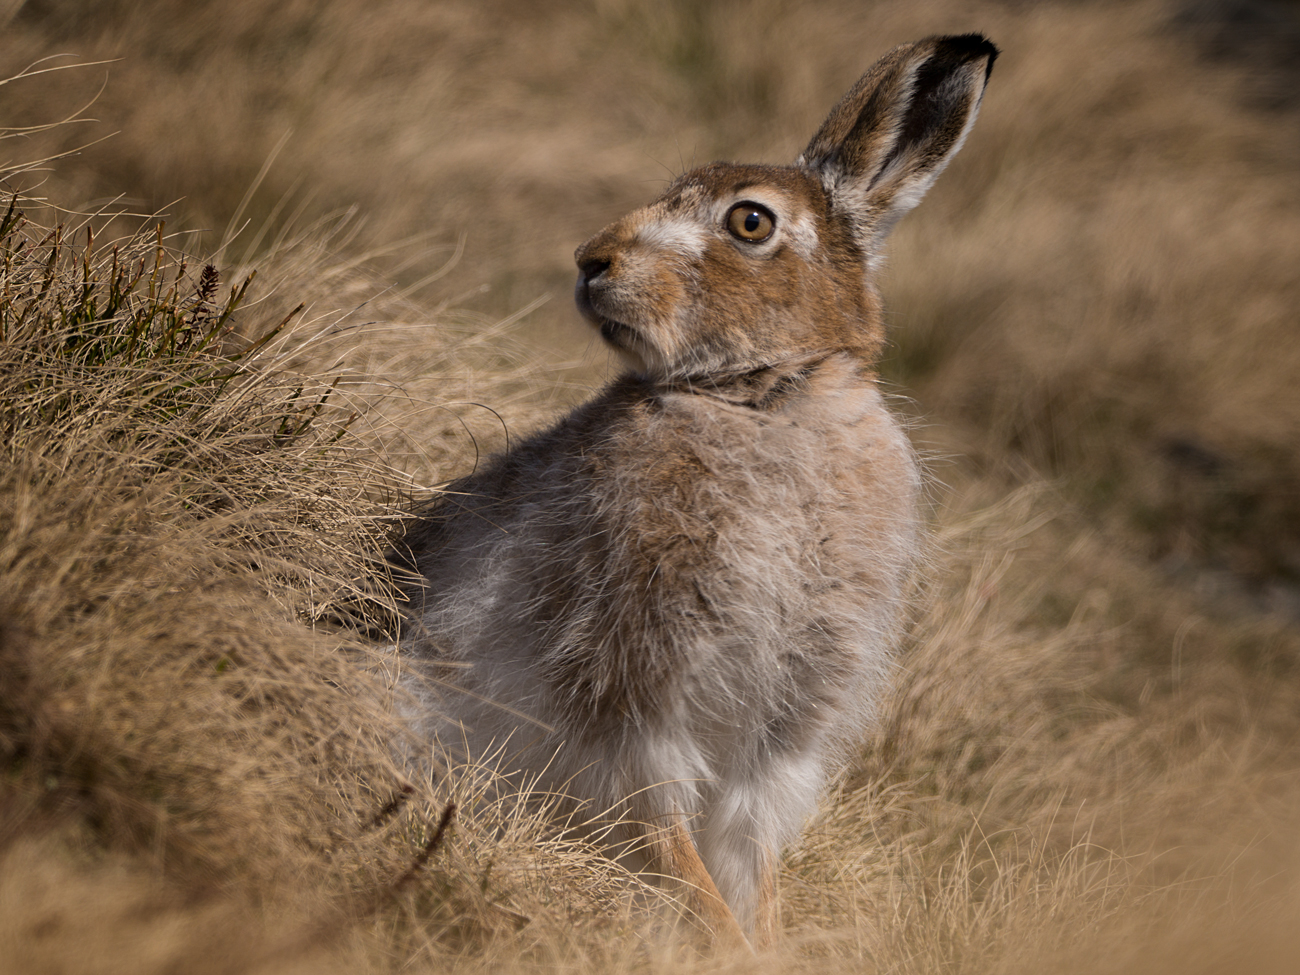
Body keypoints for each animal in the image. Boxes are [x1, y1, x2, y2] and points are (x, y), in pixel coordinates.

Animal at [393, 33, 997, 948]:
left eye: (750, 221)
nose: (591, 260)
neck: (762, 400)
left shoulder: (779, 734)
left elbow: (748, 859)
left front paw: (765, 945)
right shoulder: (633, 692)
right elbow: (669, 836)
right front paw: (721, 942)